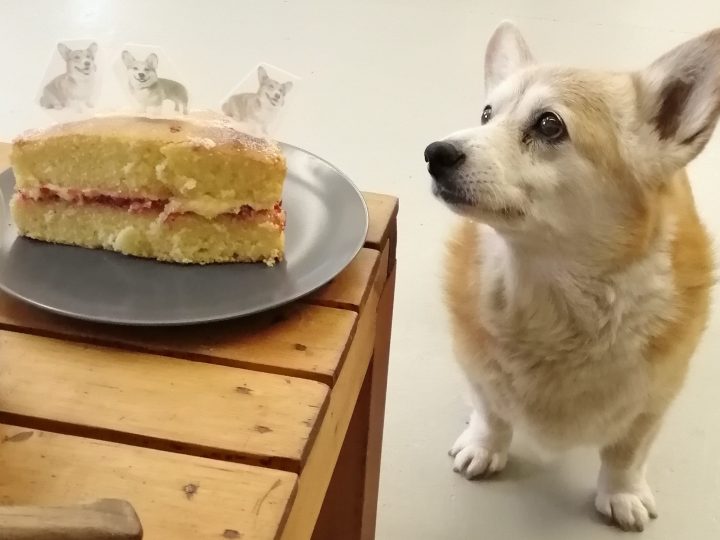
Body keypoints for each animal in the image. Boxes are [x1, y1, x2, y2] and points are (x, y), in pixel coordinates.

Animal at [424, 22, 716, 532]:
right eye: (486, 114)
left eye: (548, 125)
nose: (433, 153)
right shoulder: (478, 368)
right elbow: (492, 411)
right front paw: (483, 446)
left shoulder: (654, 401)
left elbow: (626, 453)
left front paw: (621, 494)